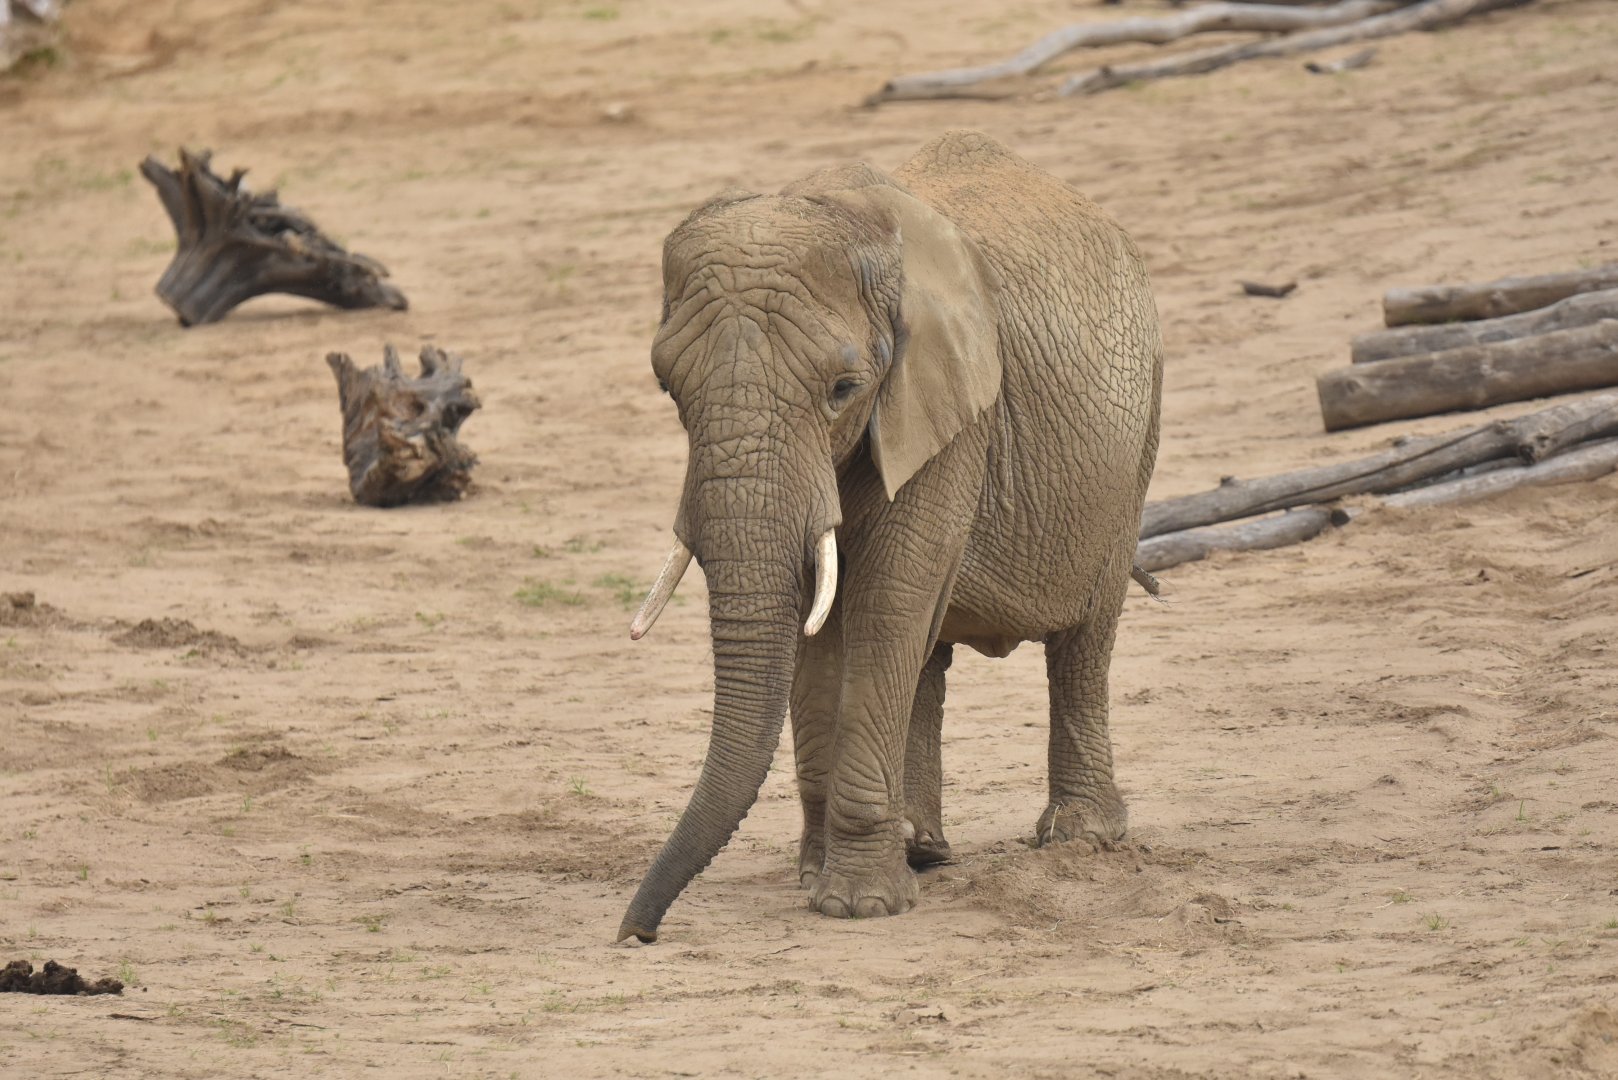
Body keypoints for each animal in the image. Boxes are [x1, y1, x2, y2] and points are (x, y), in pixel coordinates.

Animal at [617, 130, 1162, 943]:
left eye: (843, 390)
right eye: (667, 388)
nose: (639, 933)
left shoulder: (952, 412)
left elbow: (888, 600)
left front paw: (858, 905)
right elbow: (823, 622)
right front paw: (820, 875)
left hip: (1135, 444)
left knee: (1081, 641)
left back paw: (1079, 837)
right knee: (928, 655)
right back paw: (924, 850)